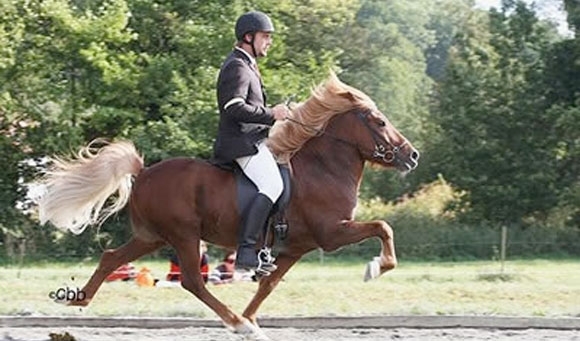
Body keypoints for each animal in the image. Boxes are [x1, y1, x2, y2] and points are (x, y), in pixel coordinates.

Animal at [35, 73, 416, 338]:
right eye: (379, 122)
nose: (412, 156)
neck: (322, 167)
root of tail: (143, 172)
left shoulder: (295, 248)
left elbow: (268, 284)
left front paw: (252, 319)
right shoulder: (332, 233)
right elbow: (383, 227)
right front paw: (376, 267)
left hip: (152, 236)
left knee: (111, 258)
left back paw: (77, 298)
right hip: (184, 235)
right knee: (192, 281)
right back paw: (234, 322)